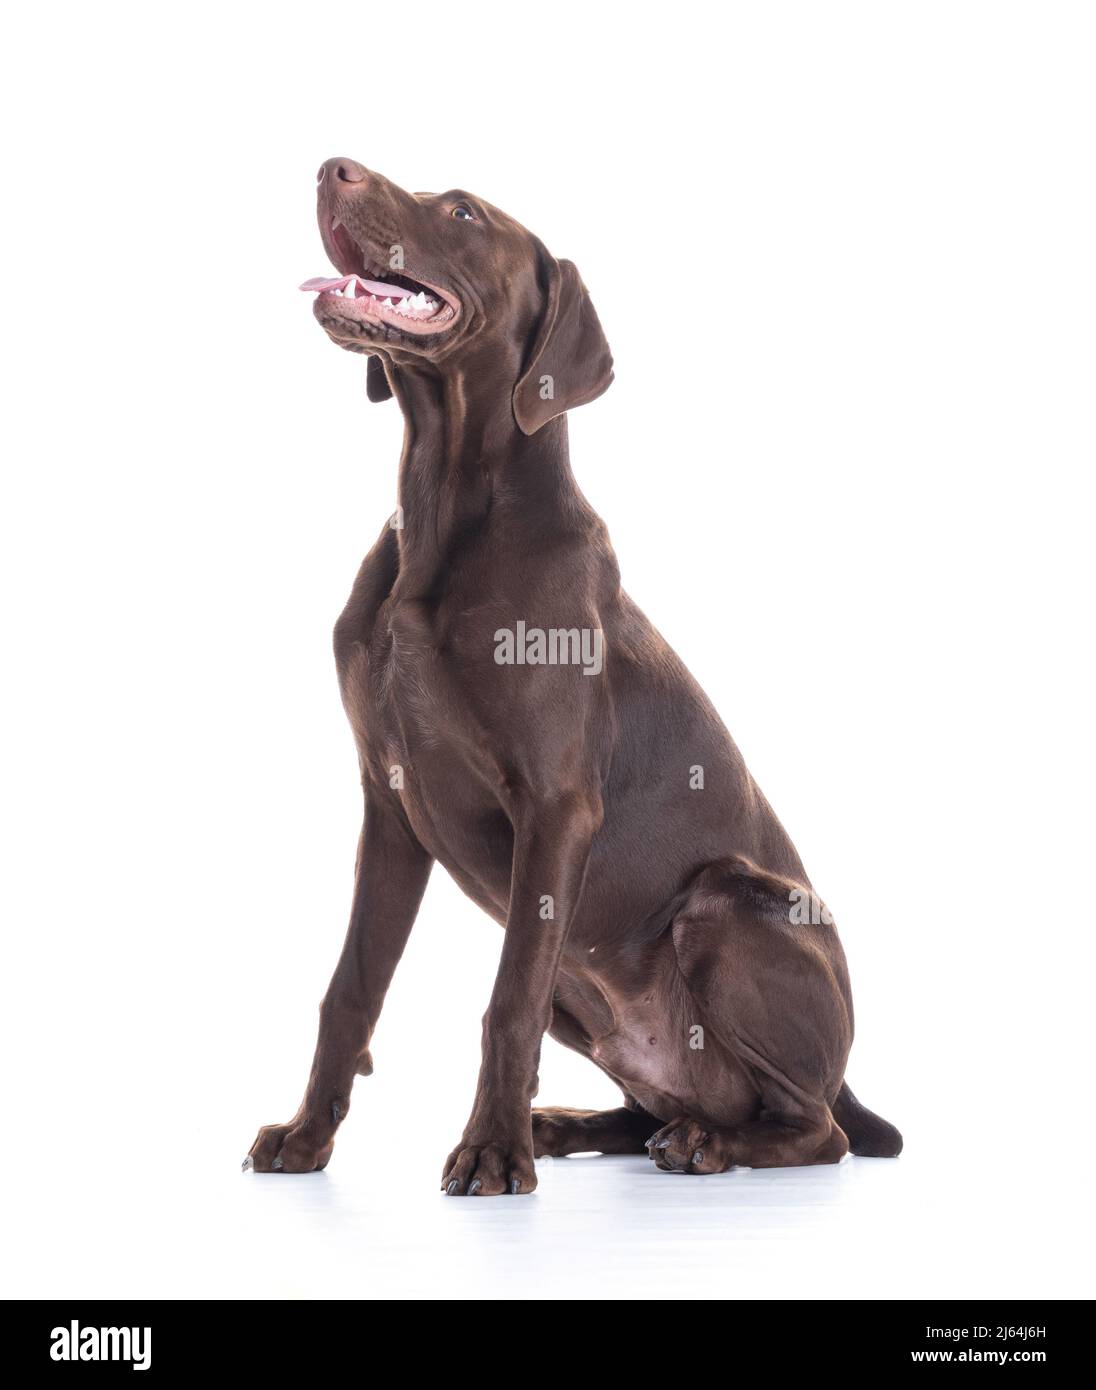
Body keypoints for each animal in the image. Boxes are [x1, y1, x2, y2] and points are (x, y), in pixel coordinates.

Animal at [246, 157, 901, 1189]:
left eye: (463, 212)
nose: (331, 166)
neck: (441, 512)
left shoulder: (555, 807)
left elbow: (503, 1001)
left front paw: (489, 1153)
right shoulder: (388, 806)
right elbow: (350, 989)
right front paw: (308, 1136)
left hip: (723, 904)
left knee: (815, 1130)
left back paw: (705, 1145)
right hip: (584, 981)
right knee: (658, 1105)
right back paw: (573, 1124)